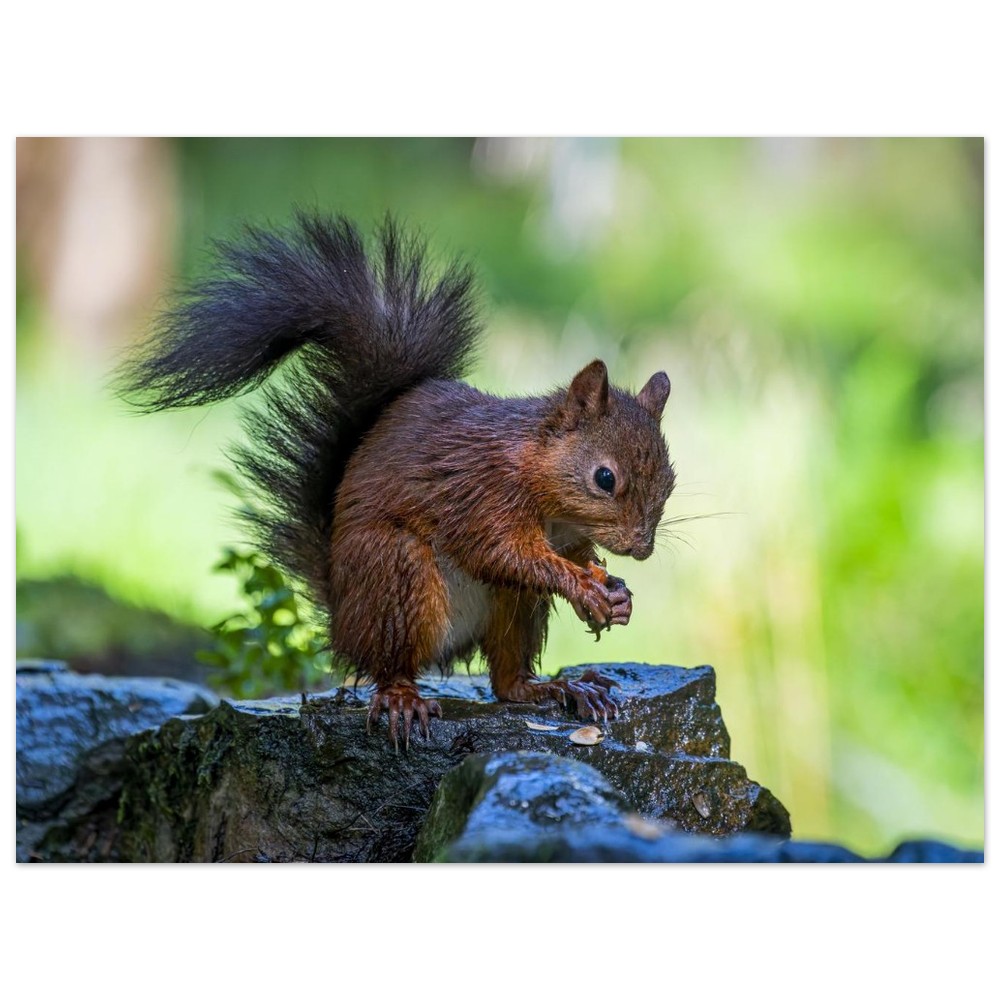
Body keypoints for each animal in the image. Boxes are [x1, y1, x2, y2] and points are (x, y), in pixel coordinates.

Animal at [117, 212, 676, 747]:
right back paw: (403, 698)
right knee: (391, 665)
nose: (642, 548)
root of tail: (342, 619)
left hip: (512, 607)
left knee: (506, 680)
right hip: (395, 576)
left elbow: (572, 555)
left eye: (670, 481)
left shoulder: (565, 533)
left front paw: (614, 592)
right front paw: (583, 586)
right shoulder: (480, 494)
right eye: (604, 478)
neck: (542, 484)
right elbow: (503, 553)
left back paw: (557, 687)